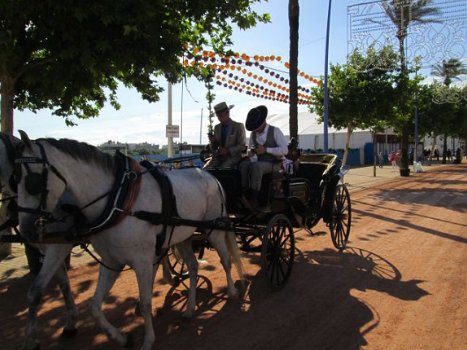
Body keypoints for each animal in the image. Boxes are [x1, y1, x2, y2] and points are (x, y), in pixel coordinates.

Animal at [0, 132, 77, 350]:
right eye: (16, 177)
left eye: (33, 182)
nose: (27, 229)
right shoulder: (49, 247)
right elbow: (63, 283)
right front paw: (71, 321)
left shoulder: (58, 248)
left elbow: (35, 292)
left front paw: (31, 339)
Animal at [14, 131, 243, 350]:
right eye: (15, 179)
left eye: (32, 181)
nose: (26, 230)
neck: (120, 202)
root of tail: (210, 176)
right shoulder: (111, 261)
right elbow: (94, 306)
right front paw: (121, 337)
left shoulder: (141, 261)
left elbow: (146, 302)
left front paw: (147, 340)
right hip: (183, 236)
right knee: (194, 267)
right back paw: (189, 309)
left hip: (213, 229)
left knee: (225, 259)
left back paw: (232, 291)